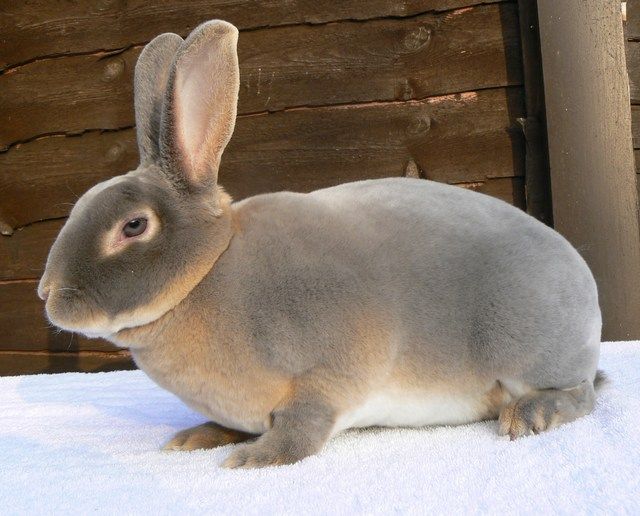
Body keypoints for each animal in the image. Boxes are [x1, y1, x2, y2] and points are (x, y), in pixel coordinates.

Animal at [38, 20, 603, 469]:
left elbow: (303, 426)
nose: (47, 292)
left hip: (528, 350)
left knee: (581, 395)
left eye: (133, 226)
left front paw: (254, 458)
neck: (211, 271)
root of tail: (586, 286)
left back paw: (529, 416)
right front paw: (196, 438)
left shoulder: (327, 373)